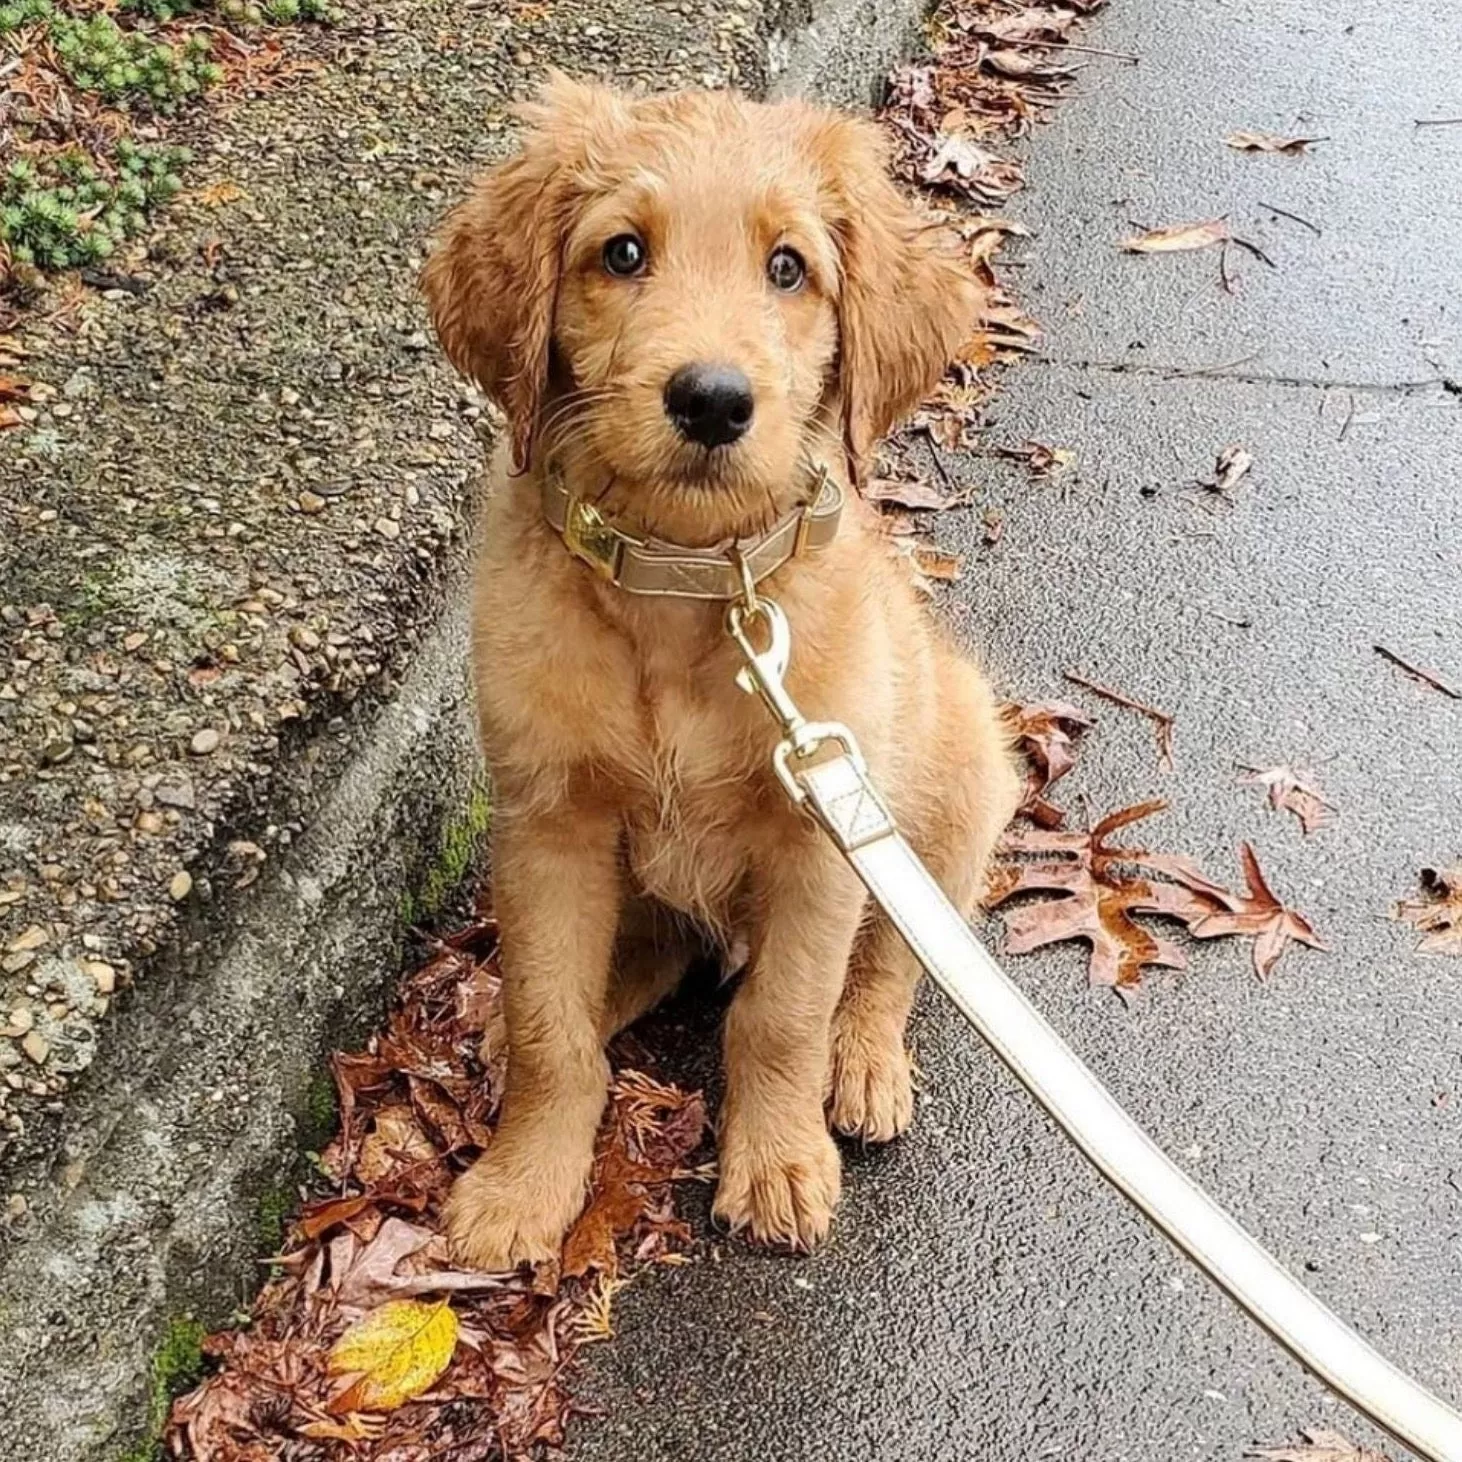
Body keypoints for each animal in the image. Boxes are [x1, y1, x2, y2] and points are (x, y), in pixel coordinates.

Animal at [421, 77, 1017, 1269]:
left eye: (787, 267)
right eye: (621, 253)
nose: (710, 399)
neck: (685, 585)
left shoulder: (820, 847)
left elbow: (782, 1015)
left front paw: (778, 1161)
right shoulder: (547, 823)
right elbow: (548, 1024)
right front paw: (522, 1182)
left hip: (958, 775)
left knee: (893, 964)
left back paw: (864, 1064)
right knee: (629, 969)